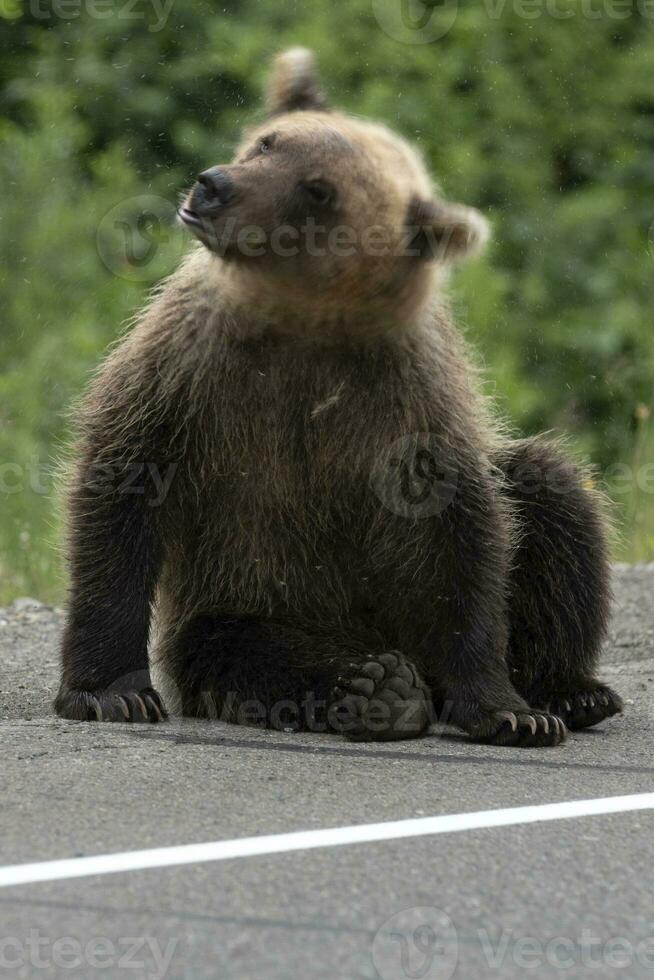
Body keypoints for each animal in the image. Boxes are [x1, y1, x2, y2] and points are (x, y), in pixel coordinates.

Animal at [53, 49, 624, 748]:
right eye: (268, 142)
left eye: (318, 189)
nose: (214, 186)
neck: (308, 324)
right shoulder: (190, 368)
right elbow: (125, 479)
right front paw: (112, 691)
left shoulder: (411, 397)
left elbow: (464, 536)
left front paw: (508, 710)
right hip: (252, 596)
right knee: (254, 651)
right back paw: (376, 688)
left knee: (554, 500)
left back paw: (569, 690)